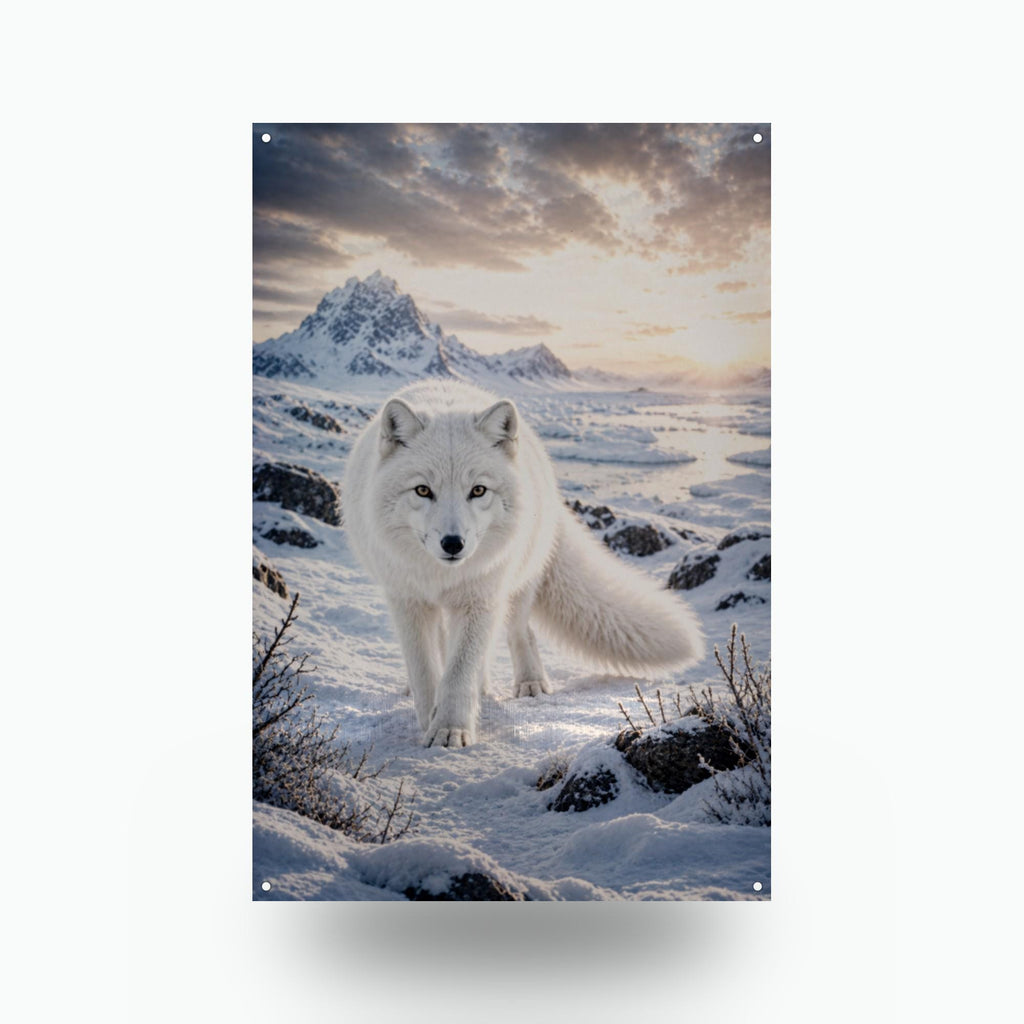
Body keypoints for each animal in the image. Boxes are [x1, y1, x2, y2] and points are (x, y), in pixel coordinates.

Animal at [342, 379, 705, 748]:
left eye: (478, 490)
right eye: (422, 490)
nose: (453, 543)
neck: (442, 576)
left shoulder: (481, 599)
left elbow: (459, 672)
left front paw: (449, 729)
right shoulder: (407, 601)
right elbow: (425, 670)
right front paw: (430, 717)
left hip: (516, 585)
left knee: (518, 632)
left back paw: (525, 683)